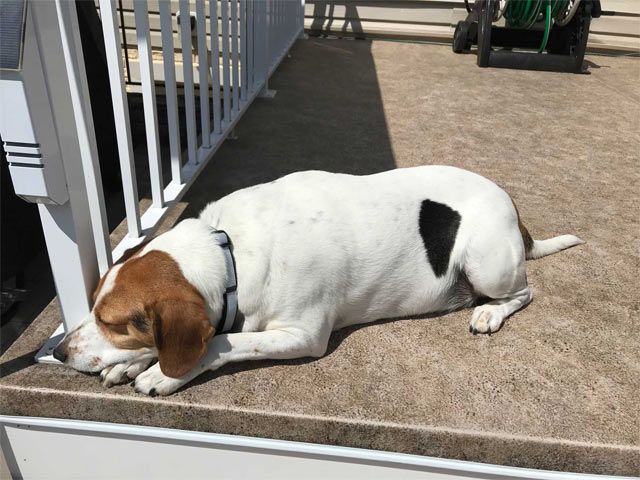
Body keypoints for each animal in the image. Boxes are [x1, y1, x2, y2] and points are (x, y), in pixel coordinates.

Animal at [53, 167, 584, 396]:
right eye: (96, 311)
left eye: (115, 322)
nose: (56, 352)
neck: (229, 250)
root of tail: (510, 202)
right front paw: (130, 364)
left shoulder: (304, 335)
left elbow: (221, 341)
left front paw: (162, 373)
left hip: (487, 262)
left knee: (525, 291)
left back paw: (490, 312)